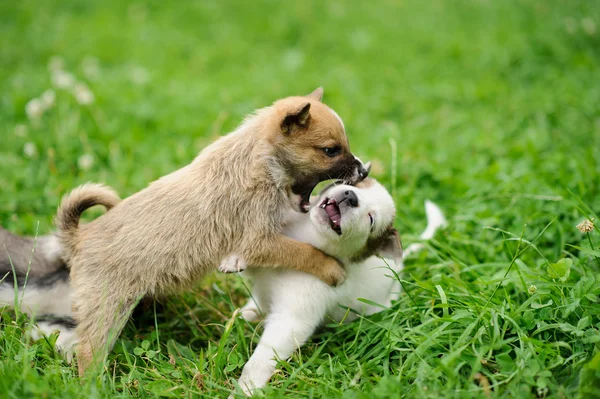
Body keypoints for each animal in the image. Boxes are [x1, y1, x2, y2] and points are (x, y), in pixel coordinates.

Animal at [57, 89, 366, 376]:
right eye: (330, 150)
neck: (261, 160)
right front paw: (331, 268)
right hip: (107, 308)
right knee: (88, 351)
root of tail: (77, 237)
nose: (363, 171)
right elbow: (304, 251)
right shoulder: (259, 241)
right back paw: (93, 384)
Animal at [220, 178, 446, 396]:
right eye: (354, 183)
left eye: (371, 219)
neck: (306, 236)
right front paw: (235, 257)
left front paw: (245, 389)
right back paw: (244, 315)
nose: (351, 196)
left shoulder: (291, 322)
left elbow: (259, 361)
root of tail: (399, 266)